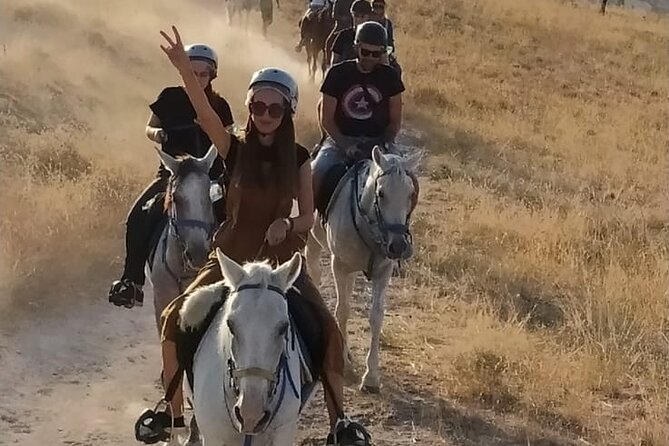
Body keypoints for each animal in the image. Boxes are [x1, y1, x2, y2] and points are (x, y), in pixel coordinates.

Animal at [306, 146, 420, 394]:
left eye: (410, 194)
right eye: (381, 193)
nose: (398, 245)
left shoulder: (383, 273)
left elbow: (376, 316)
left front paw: (371, 377)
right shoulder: (340, 266)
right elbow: (343, 310)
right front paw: (346, 364)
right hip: (312, 241)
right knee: (314, 273)